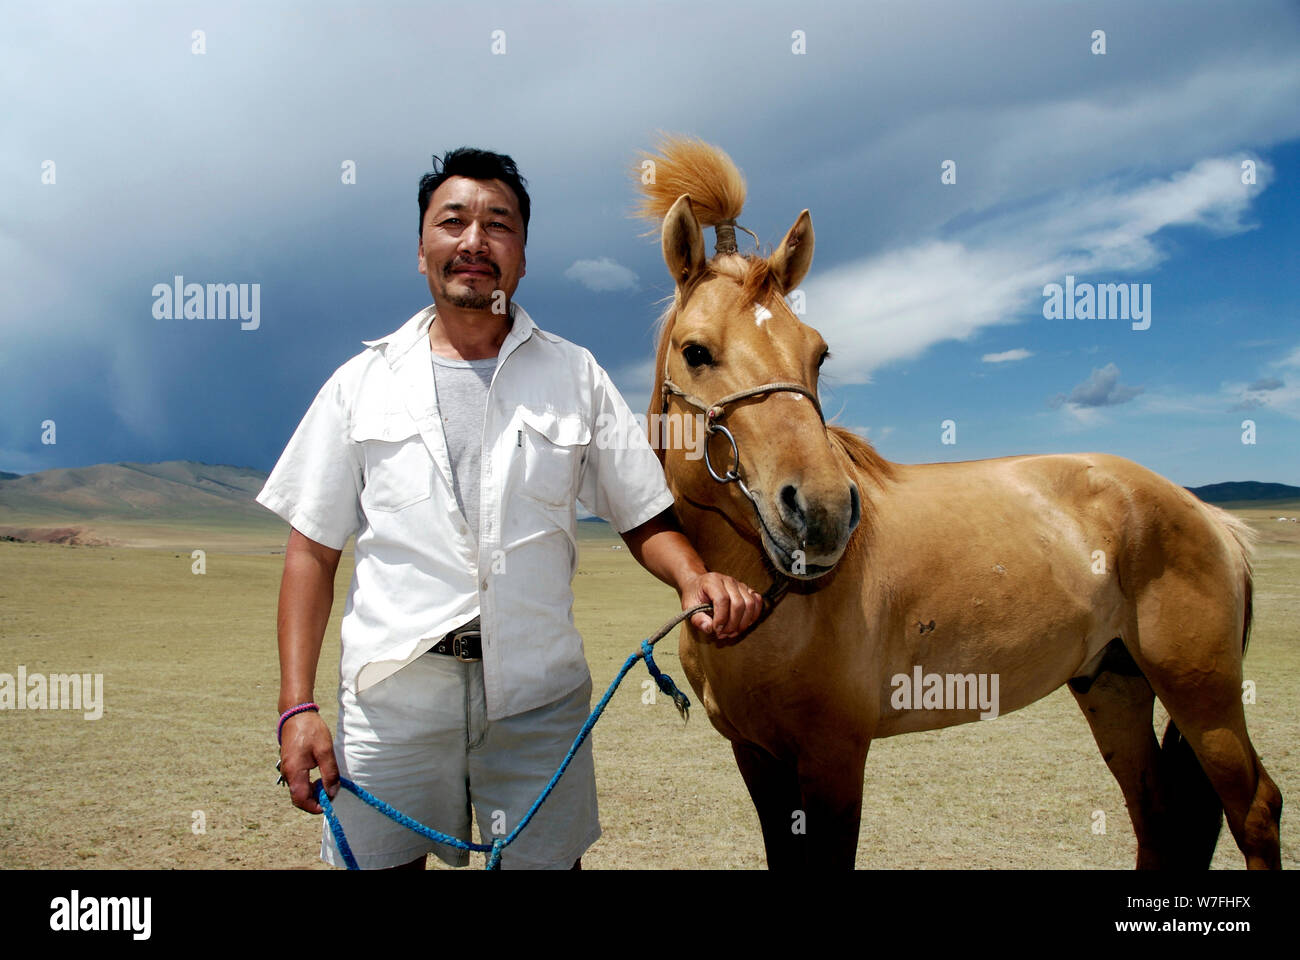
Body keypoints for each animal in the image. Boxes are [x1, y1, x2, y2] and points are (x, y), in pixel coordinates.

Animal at [634, 135, 1283, 869]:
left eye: (819, 354)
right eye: (696, 351)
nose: (823, 512)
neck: (763, 602)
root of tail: (1205, 512)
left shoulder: (834, 757)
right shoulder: (757, 757)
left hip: (1204, 695)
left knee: (1254, 809)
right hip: (1114, 683)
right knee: (1157, 813)